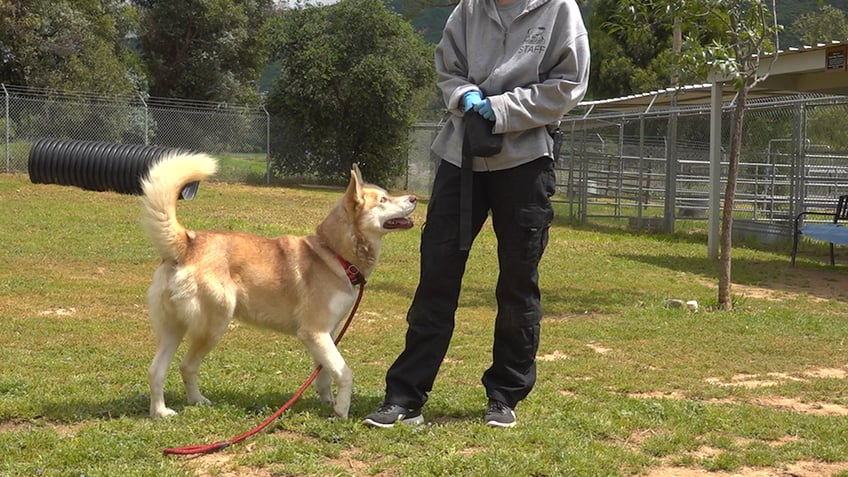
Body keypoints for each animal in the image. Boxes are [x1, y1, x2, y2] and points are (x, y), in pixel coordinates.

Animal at [142, 152, 418, 416]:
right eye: (383, 200)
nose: (414, 198)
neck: (335, 254)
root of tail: (188, 243)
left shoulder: (326, 333)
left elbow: (324, 372)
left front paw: (327, 400)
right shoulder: (314, 331)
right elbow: (345, 372)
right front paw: (342, 409)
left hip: (174, 329)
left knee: (156, 370)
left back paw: (161, 412)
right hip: (213, 326)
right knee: (186, 365)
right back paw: (196, 401)